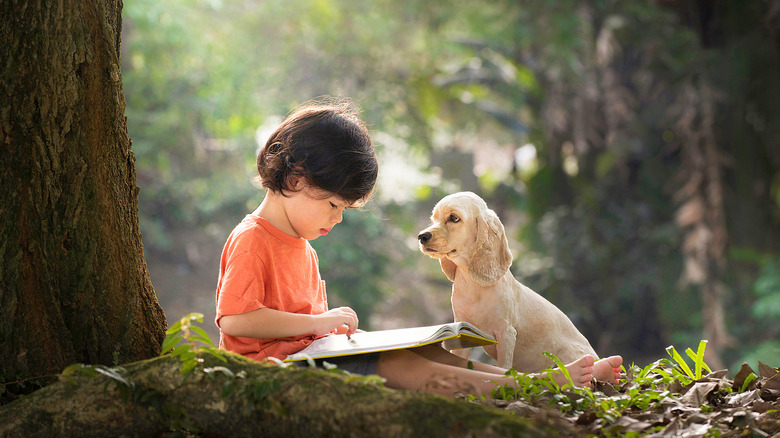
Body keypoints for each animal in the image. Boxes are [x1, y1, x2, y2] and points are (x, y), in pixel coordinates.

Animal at [420, 192, 596, 372]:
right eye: (433, 219)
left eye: (454, 218)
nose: (422, 236)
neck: (474, 286)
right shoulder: (463, 331)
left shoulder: (506, 333)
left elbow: (503, 368)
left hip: (568, 353)